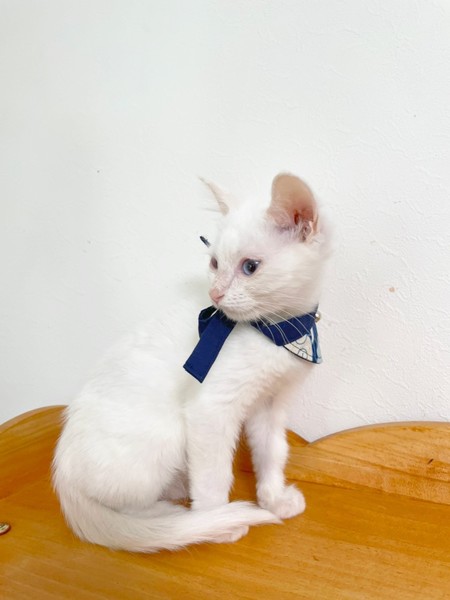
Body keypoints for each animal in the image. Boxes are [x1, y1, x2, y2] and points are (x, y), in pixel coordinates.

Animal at [52, 172, 330, 553]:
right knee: (121, 508)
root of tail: (63, 474)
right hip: (166, 432)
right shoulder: (210, 409)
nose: (215, 294)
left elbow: (273, 452)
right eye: (214, 263)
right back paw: (172, 518)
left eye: (250, 267)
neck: (276, 333)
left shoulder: (270, 405)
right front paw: (217, 520)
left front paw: (274, 500)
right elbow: (214, 473)